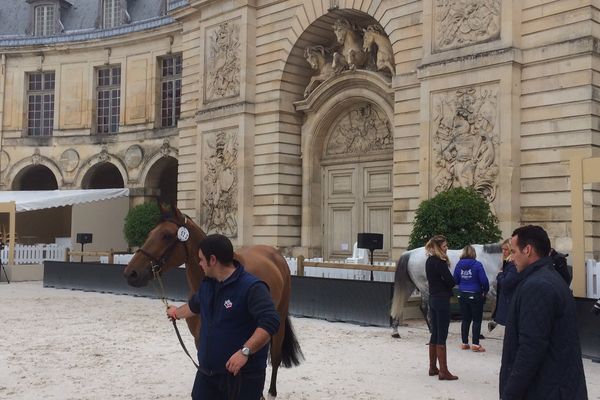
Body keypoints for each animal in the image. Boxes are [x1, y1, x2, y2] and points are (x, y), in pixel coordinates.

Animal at [122, 205, 302, 398]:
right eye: (150, 233)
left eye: (167, 235)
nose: (131, 273)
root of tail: (275, 254)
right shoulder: (200, 341)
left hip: (279, 320)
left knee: (274, 358)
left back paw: (270, 392)